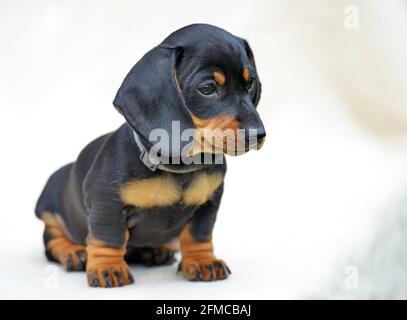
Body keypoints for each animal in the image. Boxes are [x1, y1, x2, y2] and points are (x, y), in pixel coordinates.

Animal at [35, 23, 268, 286]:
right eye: (208, 88)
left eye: (250, 83)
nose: (258, 134)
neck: (179, 166)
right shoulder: (107, 203)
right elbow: (108, 236)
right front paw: (108, 267)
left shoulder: (208, 204)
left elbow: (198, 235)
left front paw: (202, 261)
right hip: (49, 206)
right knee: (53, 240)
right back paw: (74, 253)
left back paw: (157, 252)